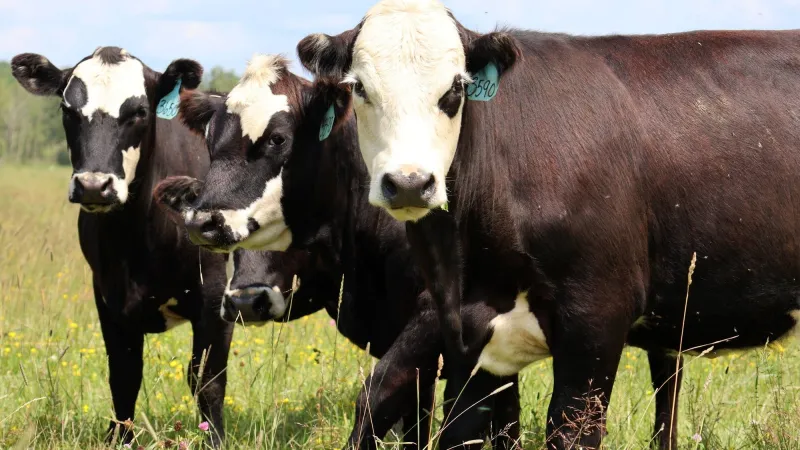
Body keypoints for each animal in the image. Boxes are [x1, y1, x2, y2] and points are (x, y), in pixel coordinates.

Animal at [11, 47, 234, 446]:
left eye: (139, 111)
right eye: (67, 109)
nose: (93, 185)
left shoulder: (213, 294)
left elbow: (207, 381)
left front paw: (215, 441)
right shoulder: (107, 296)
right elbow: (124, 377)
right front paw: (119, 438)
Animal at [295, 0, 800, 448]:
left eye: (455, 89)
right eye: (361, 88)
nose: (408, 182)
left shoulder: (596, 318)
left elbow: (570, 433)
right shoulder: (462, 335)